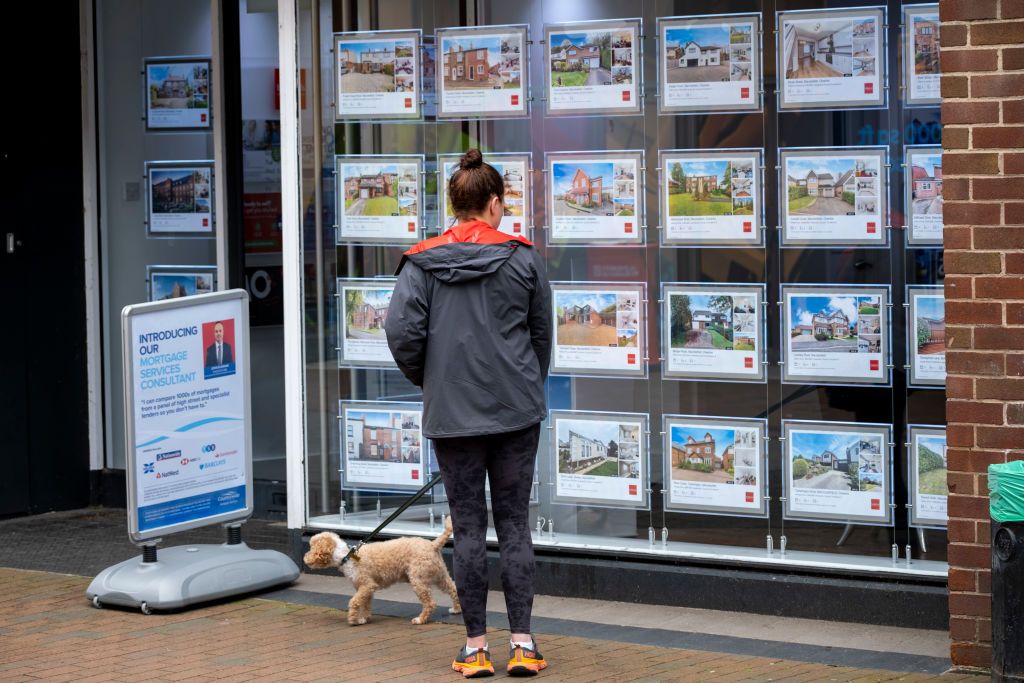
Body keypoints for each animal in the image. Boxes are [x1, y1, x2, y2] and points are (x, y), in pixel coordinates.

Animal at [301, 518, 462, 626]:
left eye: (311, 547)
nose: (304, 558)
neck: (346, 557)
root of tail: (433, 544)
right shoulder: (366, 589)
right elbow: (365, 605)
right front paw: (363, 619)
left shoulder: (367, 585)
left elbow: (354, 602)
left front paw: (353, 619)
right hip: (439, 574)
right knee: (453, 589)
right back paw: (457, 609)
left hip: (419, 580)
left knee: (430, 603)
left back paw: (420, 619)